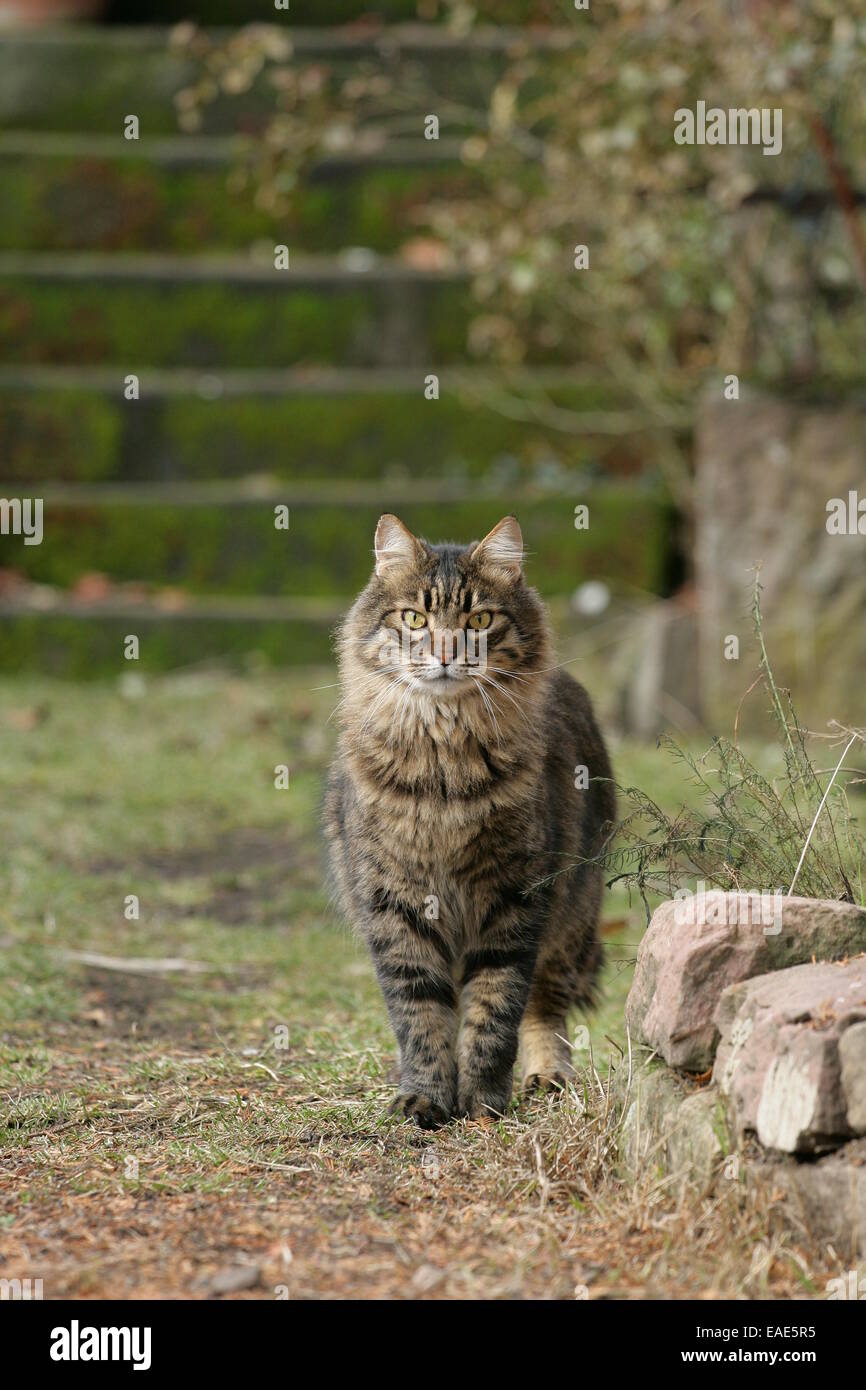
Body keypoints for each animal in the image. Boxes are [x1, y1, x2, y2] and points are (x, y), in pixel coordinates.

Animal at [325, 517, 617, 1123]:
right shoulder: (395, 906)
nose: (443, 655)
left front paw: (482, 1102)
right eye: (415, 619)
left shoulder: (514, 901)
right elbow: (421, 1015)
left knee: (544, 1007)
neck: (444, 773)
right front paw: (426, 1097)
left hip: (572, 918)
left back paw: (547, 1077)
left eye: (479, 621)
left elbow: (495, 1010)